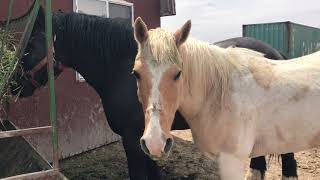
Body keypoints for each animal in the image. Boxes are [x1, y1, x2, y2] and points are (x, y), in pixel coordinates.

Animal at [5, 5, 298, 179]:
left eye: (29, 44)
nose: (12, 85)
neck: (122, 69)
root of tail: (276, 53)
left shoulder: (132, 139)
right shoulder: (148, 140)